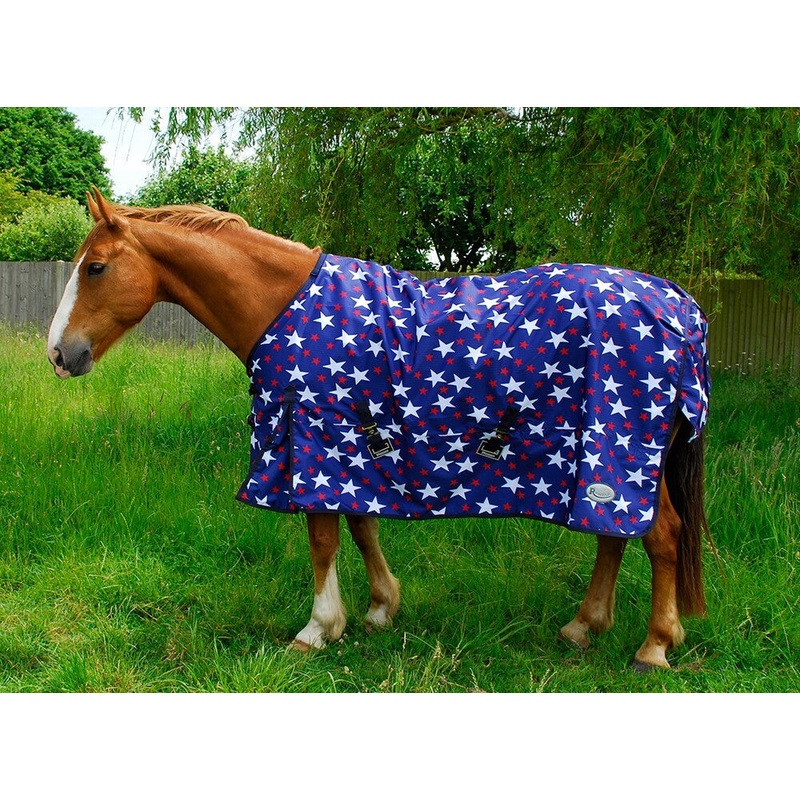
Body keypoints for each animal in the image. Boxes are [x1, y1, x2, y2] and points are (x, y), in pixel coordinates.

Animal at [47, 188, 711, 671]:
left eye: (97, 268)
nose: (59, 353)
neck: (283, 305)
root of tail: (677, 306)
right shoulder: (354, 449)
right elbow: (362, 527)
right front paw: (379, 610)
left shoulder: (311, 440)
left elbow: (324, 540)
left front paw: (318, 628)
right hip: (597, 456)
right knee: (613, 536)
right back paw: (583, 627)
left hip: (621, 451)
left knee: (661, 537)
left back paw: (653, 646)